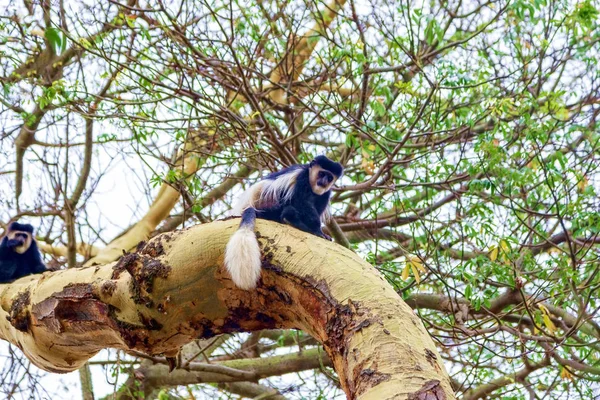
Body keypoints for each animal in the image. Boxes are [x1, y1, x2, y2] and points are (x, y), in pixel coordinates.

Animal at [224, 155, 342, 290]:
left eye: (329, 177)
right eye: (321, 173)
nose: (324, 181)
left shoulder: (325, 193)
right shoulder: (301, 178)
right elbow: (302, 201)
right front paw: (318, 231)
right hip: (267, 204)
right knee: (288, 204)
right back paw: (291, 219)